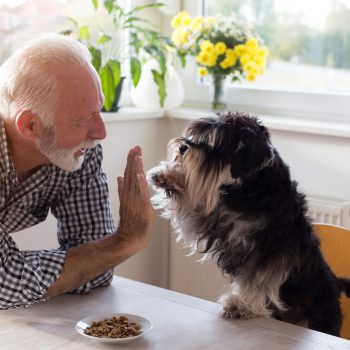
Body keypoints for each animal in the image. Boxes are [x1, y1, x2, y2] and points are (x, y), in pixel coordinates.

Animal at [148, 112, 350, 336]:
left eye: (217, 144)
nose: (183, 147)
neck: (250, 187)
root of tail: (337, 284)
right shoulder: (213, 220)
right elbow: (192, 205)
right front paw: (167, 175)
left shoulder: (270, 251)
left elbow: (258, 281)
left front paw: (240, 306)